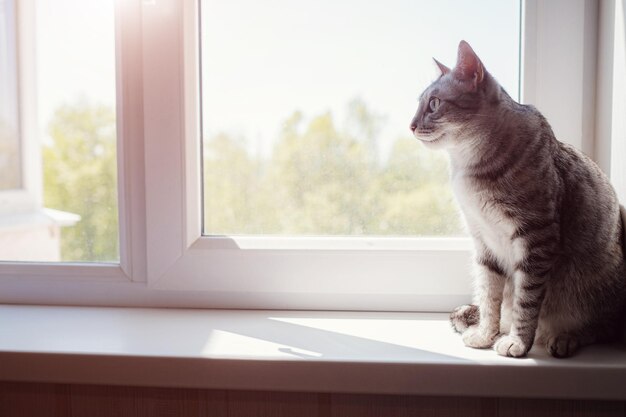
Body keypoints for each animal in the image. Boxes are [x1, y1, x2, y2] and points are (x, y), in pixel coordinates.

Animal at [410, 39, 624, 358]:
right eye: (419, 103)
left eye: (434, 103)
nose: (411, 125)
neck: (468, 166)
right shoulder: (483, 241)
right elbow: (490, 298)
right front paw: (486, 334)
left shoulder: (536, 238)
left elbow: (526, 301)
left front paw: (518, 342)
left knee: (602, 328)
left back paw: (565, 337)